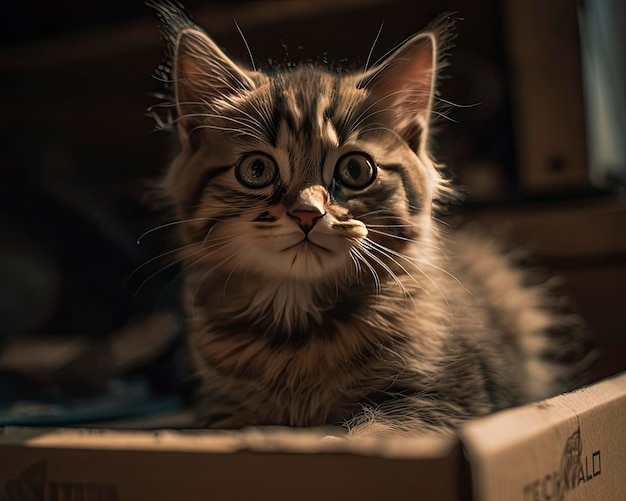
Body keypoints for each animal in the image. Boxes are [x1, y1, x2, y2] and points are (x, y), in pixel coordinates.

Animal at [149, 1, 588, 434]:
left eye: (355, 170)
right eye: (256, 170)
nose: (307, 214)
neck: (297, 330)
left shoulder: (449, 400)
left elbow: (373, 432)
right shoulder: (220, 410)